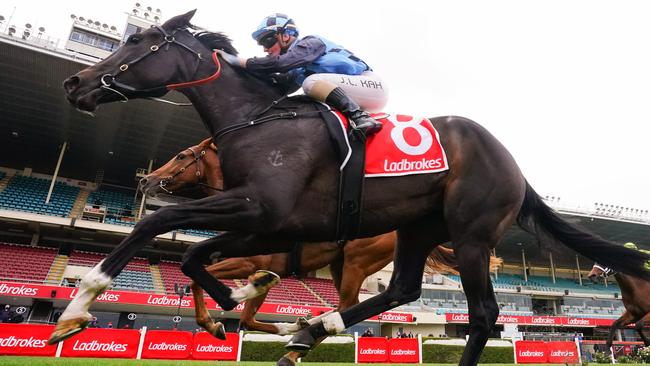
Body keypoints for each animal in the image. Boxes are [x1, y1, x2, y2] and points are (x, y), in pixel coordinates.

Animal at [143, 137, 502, 364]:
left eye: (181, 156)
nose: (147, 179)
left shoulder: (251, 263)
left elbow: (219, 295)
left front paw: (222, 324)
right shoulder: (252, 264)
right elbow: (233, 307)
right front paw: (275, 325)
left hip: (357, 262)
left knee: (348, 304)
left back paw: (301, 340)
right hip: (342, 265)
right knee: (346, 305)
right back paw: (306, 330)